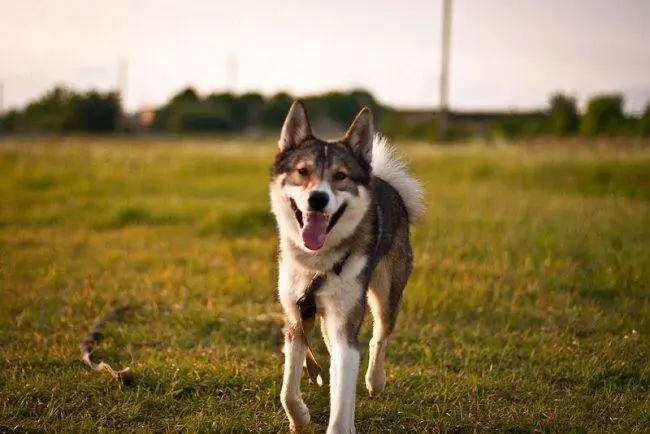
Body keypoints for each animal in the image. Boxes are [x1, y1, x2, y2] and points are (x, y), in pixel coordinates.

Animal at [268, 100, 422, 432]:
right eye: (303, 171)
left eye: (340, 176)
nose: (317, 198)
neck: (317, 262)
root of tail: (386, 182)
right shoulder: (296, 317)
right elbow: (288, 390)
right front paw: (300, 418)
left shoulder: (345, 325)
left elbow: (340, 401)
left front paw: (339, 420)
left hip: (386, 296)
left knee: (378, 337)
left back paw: (375, 381)